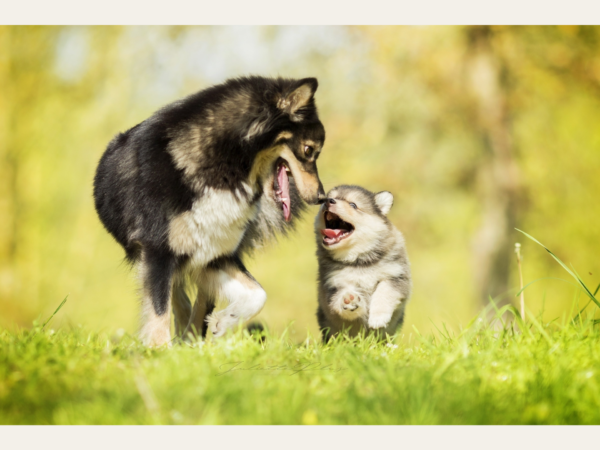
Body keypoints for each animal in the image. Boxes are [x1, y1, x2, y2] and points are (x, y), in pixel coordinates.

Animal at [94, 76, 326, 344]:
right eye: (309, 150)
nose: (322, 197)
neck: (224, 166)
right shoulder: (157, 250)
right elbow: (158, 309)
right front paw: (159, 349)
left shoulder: (216, 253)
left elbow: (258, 294)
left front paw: (223, 322)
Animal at [316, 184, 410, 342]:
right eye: (328, 198)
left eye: (353, 205)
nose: (328, 201)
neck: (359, 260)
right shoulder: (332, 284)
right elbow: (338, 300)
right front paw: (349, 302)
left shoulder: (396, 275)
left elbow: (384, 293)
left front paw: (378, 318)